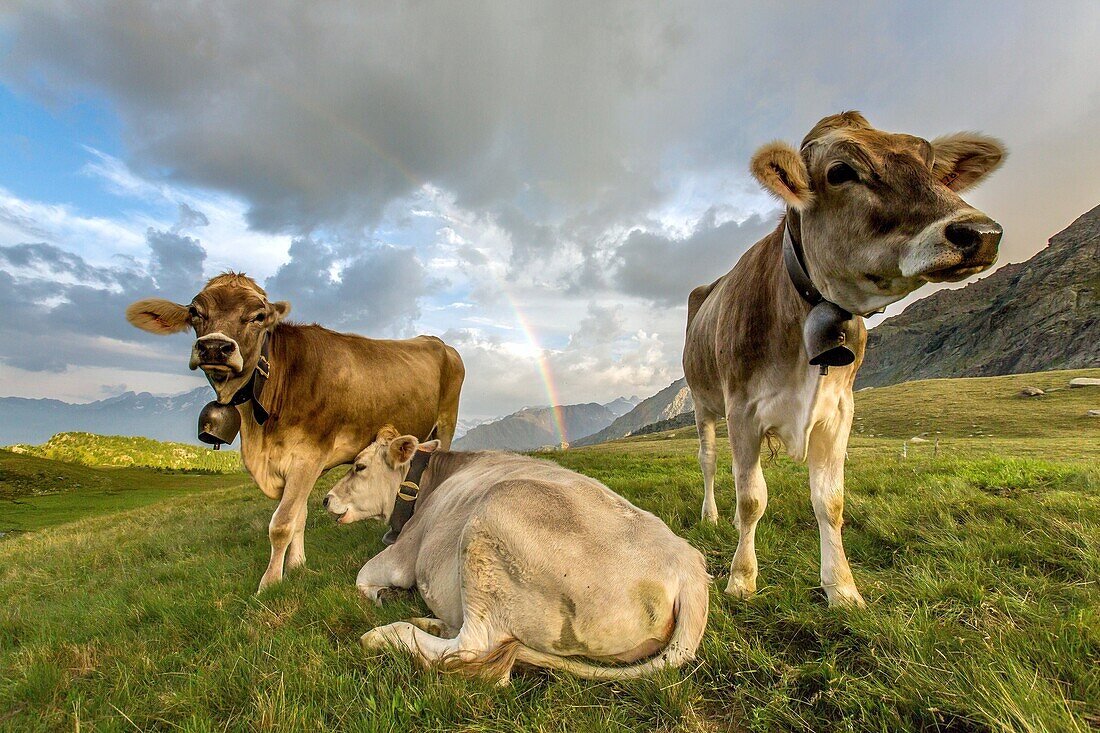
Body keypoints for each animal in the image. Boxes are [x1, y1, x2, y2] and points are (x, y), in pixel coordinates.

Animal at [125, 270, 464, 589]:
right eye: (195, 311)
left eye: (258, 316)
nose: (214, 347)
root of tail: (436, 341)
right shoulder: (294, 463)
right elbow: (299, 516)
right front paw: (297, 566)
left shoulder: (308, 457)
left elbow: (282, 523)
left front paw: (269, 583)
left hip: (446, 423)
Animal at [321, 424, 708, 682]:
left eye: (358, 466)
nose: (325, 499)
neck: (428, 481)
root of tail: (688, 563)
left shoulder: (403, 553)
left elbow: (362, 577)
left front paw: (384, 595)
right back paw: (432, 623)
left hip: (492, 518)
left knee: (474, 647)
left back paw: (385, 635)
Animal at [682, 112, 1007, 603]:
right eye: (840, 172)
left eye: (932, 165)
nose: (980, 233)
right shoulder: (743, 409)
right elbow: (752, 498)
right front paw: (741, 579)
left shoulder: (839, 411)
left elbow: (829, 502)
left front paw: (842, 587)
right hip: (704, 403)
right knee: (709, 461)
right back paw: (712, 516)